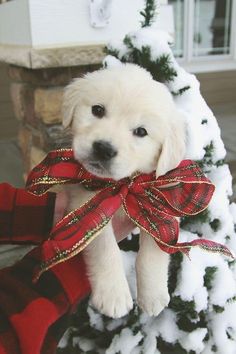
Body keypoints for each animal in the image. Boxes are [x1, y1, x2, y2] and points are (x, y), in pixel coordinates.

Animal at [62, 63, 186, 318]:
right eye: (97, 110)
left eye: (141, 132)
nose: (103, 148)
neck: (124, 184)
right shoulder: (86, 202)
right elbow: (105, 248)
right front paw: (114, 296)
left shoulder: (160, 202)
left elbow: (152, 253)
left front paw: (153, 296)